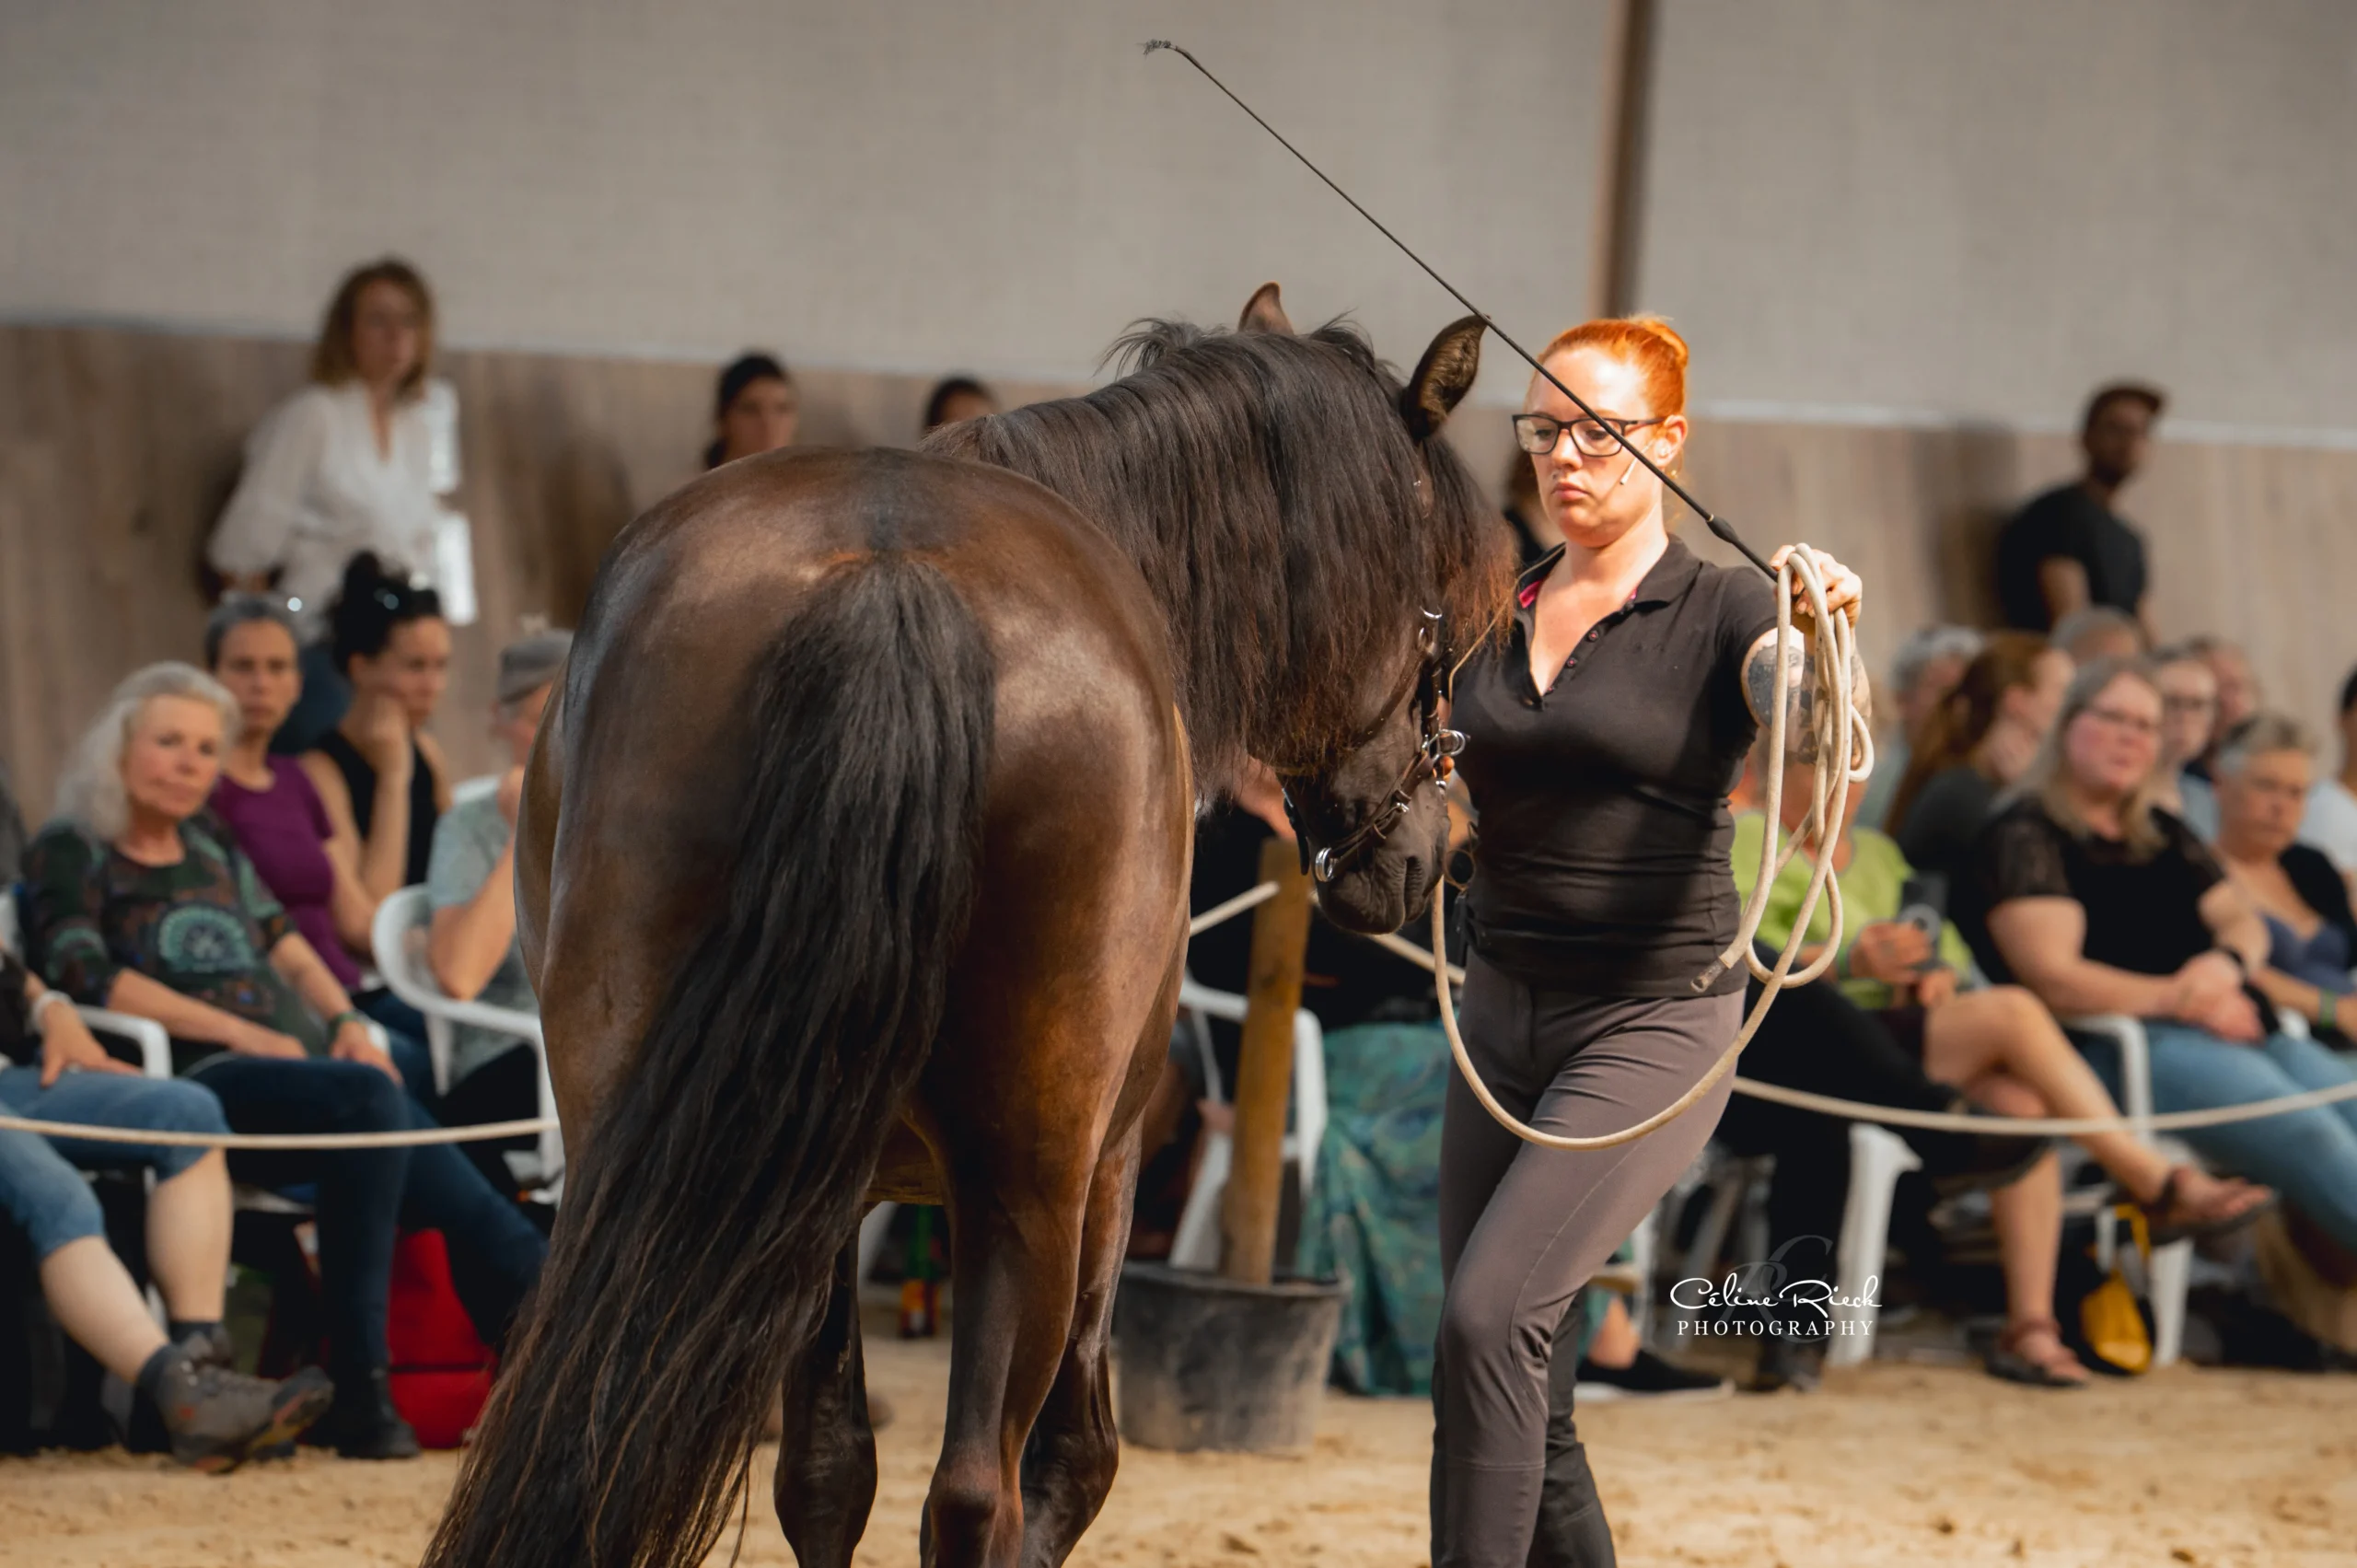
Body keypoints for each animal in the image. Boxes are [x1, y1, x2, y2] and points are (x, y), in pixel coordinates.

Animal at [421, 283, 1513, 1568]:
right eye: (1443, 608)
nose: (1436, 848)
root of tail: (892, 575)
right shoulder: (1109, 1171)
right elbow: (1071, 1459)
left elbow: (825, 1468)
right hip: (1029, 1188)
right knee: (978, 1491)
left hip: (643, 1139)